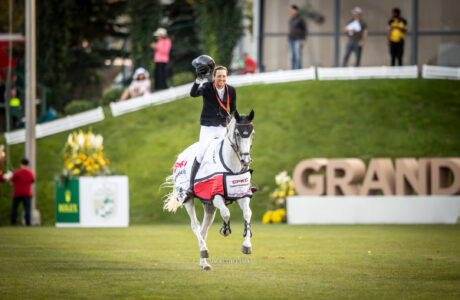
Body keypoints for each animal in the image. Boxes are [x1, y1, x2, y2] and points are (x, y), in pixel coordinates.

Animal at [164, 109, 255, 270]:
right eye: (237, 133)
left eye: (252, 134)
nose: (246, 161)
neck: (231, 165)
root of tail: (180, 157)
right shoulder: (216, 196)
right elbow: (226, 213)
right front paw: (225, 230)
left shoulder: (242, 195)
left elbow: (247, 214)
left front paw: (247, 245)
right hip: (188, 199)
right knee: (196, 226)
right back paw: (204, 251)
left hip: (209, 206)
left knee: (203, 230)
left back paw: (204, 262)